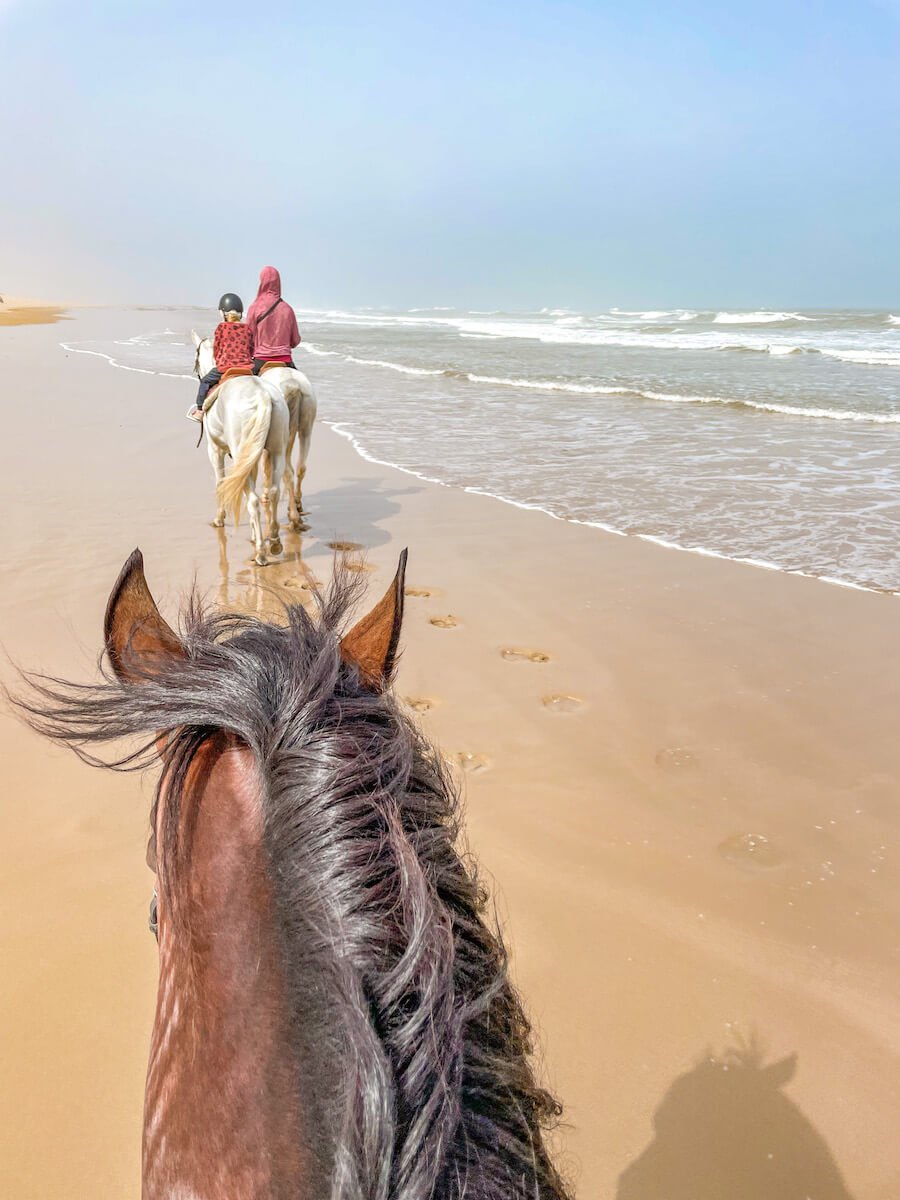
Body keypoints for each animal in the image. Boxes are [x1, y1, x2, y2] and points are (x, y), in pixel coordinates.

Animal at [191, 332, 293, 564]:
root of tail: (263, 396)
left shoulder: (215, 450)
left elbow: (220, 482)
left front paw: (219, 519)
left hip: (240, 454)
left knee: (253, 500)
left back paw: (261, 552)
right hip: (276, 451)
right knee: (273, 492)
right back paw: (274, 541)